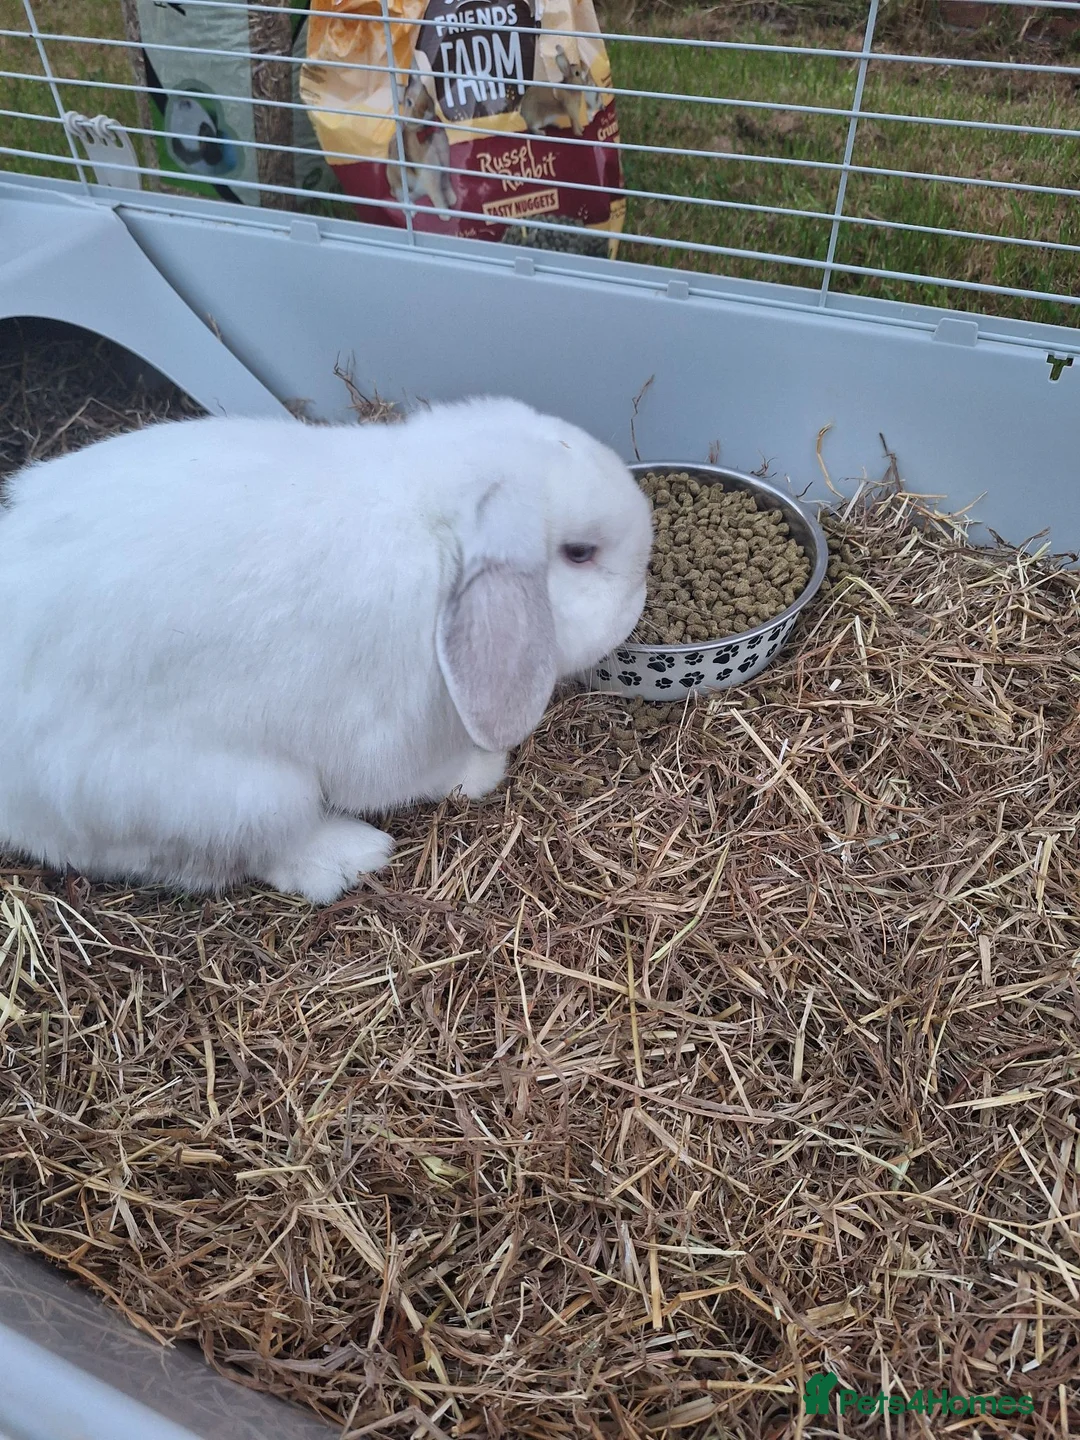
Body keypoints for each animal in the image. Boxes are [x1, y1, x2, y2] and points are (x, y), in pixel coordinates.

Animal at [0, 397, 652, 905]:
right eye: (579, 553)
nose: (639, 598)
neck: (433, 525)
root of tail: (20, 809)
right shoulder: (389, 735)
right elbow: (420, 776)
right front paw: (483, 772)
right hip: (236, 794)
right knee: (239, 855)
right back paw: (353, 856)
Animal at [387, 72, 457, 221]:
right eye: (408, 102)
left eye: (425, 89)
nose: (425, 108)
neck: (425, 129)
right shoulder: (430, 174)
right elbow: (437, 195)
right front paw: (445, 216)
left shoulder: (444, 164)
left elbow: (446, 184)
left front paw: (452, 199)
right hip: (398, 184)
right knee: (401, 199)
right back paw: (412, 212)